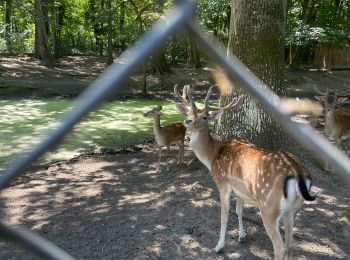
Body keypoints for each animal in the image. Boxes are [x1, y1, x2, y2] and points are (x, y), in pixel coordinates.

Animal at [175, 85, 314, 260]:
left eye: (205, 117)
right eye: (188, 113)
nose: (188, 121)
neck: (212, 156)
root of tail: (298, 173)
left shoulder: (223, 183)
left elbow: (224, 215)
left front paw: (218, 246)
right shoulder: (240, 189)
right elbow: (239, 210)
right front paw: (241, 236)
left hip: (268, 207)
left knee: (280, 247)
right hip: (293, 210)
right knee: (290, 245)